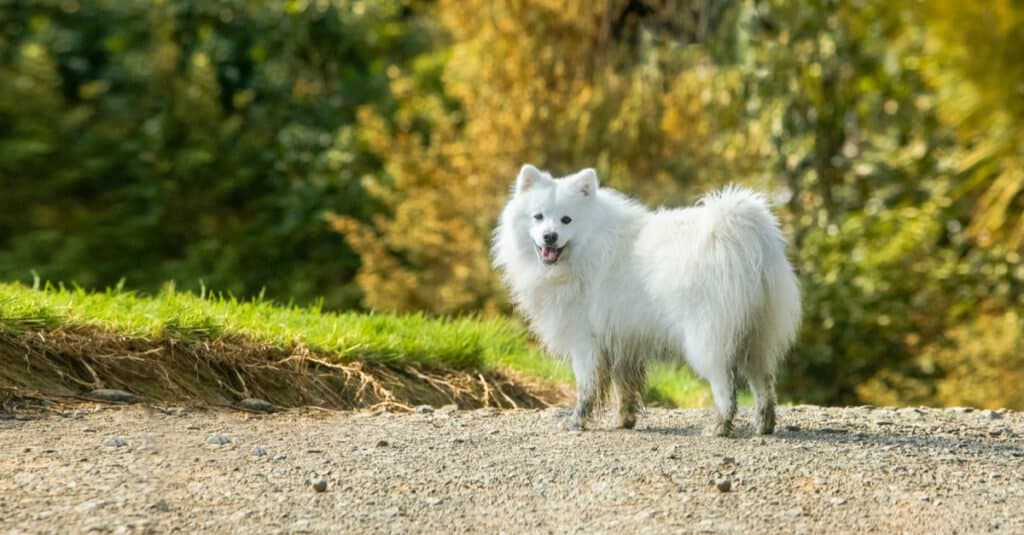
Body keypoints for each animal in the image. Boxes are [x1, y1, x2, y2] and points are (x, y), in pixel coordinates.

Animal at [491, 163, 802, 434]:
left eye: (566, 219)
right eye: (538, 216)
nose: (550, 236)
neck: (587, 248)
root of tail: (740, 235)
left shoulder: (585, 341)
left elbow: (586, 388)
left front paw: (577, 422)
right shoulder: (620, 342)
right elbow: (624, 390)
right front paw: (623, 421)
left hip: (707, 339)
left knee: (725, 385)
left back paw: (719, 427)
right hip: (757, 335)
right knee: (764, 384)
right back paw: (764, 425)